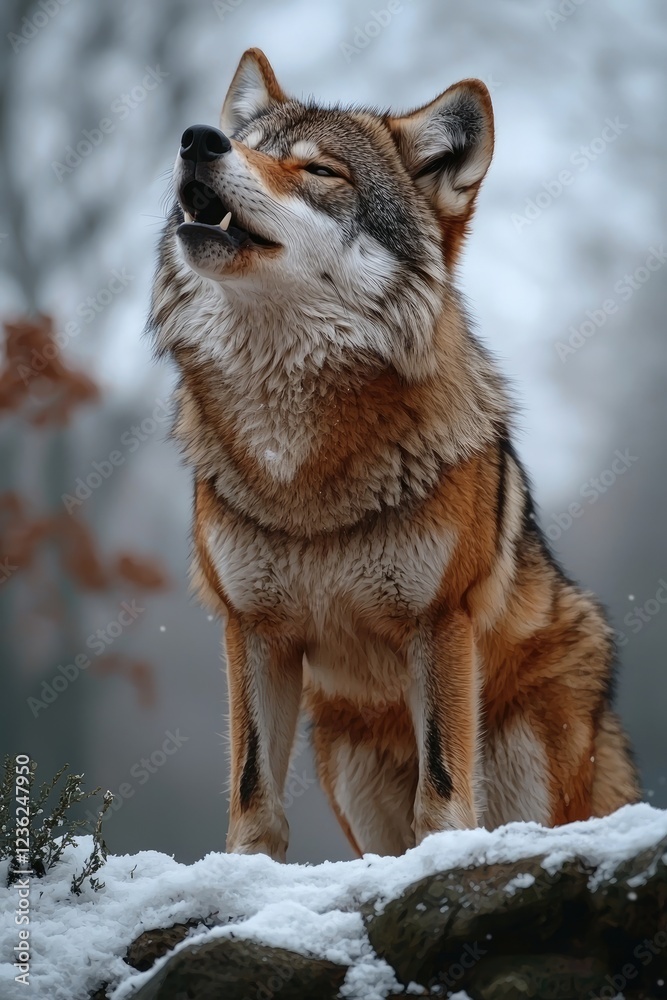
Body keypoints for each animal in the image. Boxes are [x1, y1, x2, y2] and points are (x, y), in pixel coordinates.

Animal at [149, 48, 640, 860]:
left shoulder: (438, 620)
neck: (300, 458)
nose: (196, 140)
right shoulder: (252, 629)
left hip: (533, 766)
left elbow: (440, 790)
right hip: (349, 770)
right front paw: (243, 872)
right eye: (246, 143)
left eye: (318, 170)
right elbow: (254, 791)